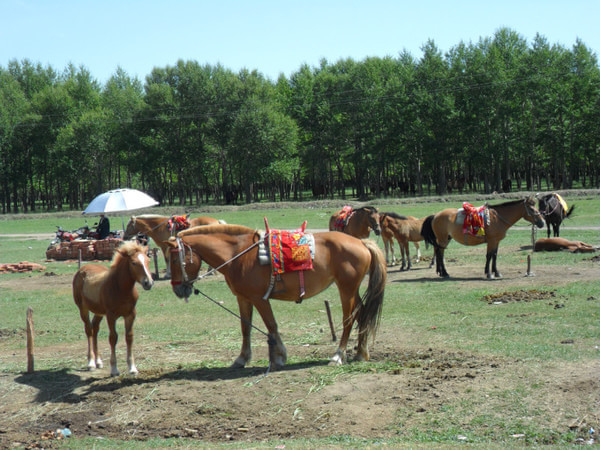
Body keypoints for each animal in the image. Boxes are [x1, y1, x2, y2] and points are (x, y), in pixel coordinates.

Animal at [72, 243, 154, 376]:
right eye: (134, 263)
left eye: (148, 260)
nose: (149, 283)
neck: (121, 289)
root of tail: (82, 268)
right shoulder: (111, 316)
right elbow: (113, 338)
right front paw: (114, 369)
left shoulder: (131, 314)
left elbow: (129, 337)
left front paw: (132, 368)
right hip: (83, 309)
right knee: (89, 330)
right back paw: (91, 363)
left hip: (99, 312)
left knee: (95, 328)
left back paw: (98, 361)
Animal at [166, 224, 386, 370]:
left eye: (174, 259)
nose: (178, 290)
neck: (238, 254)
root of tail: (361, 242)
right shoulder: (243, 298)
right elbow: (245, 327)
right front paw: (242, 358)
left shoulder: (259, 299)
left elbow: (271, 325)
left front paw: (279, 356)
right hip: (352, 289)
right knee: (362, 313)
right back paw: (361, 353)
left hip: (346, 289)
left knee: (349, 319)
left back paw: (338, 355)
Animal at [420, 197, 548, 278]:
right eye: (531, 209)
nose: (542, 222)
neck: (498, 218)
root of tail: (435, 215)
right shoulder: (491, 241)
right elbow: (489, 256)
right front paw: (489, 274)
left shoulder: (496, 241)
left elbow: (494, 255)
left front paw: (496, 272)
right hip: (442, 240)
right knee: (440, 253)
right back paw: (445, 273)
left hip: (446, 239)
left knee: (439, 252)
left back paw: (441, 272)